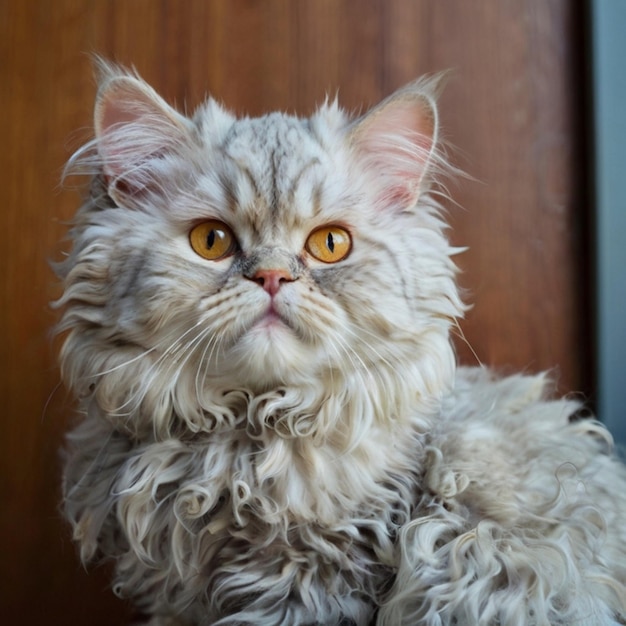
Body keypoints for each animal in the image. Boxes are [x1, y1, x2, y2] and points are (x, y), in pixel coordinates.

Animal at [53, 59, 624, 624]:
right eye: (210, 241)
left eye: (330, 244)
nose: (272, 276)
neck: (249, 437)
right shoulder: (182, 599)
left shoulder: (318, 583)